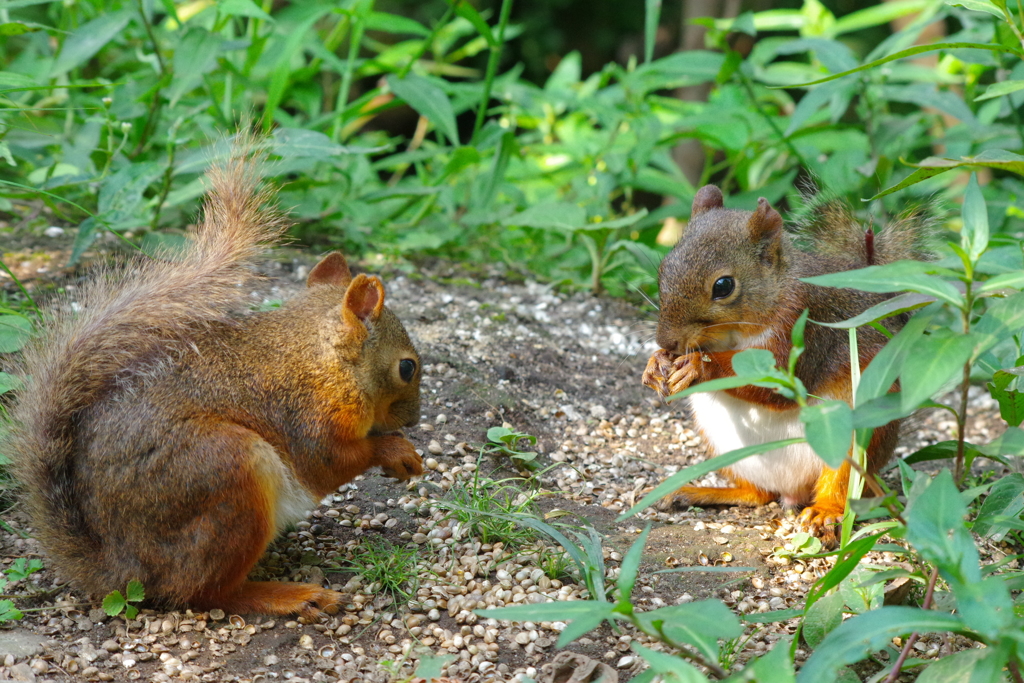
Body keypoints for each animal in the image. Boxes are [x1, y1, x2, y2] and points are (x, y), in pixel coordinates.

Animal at [4, 140, 423, 618]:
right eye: (406, 367)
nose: (414, 419)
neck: (319, 360)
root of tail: (120, 570)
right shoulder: (309, 416)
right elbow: (329, 461)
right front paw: (396, 451)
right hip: (227, 472)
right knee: (205, 592)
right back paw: (289, 595)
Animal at [643, 187, 933, 540]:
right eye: (664, 268)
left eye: (723, 286)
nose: (667, 341)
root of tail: (793, 491)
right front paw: (655, 364)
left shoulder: (806, 325)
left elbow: (777, 388)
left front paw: (699, 366)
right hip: (724, 448)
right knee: (758, 494)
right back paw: (696, 492)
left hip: (853, 441)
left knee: (840, 486)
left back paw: (824, 512)